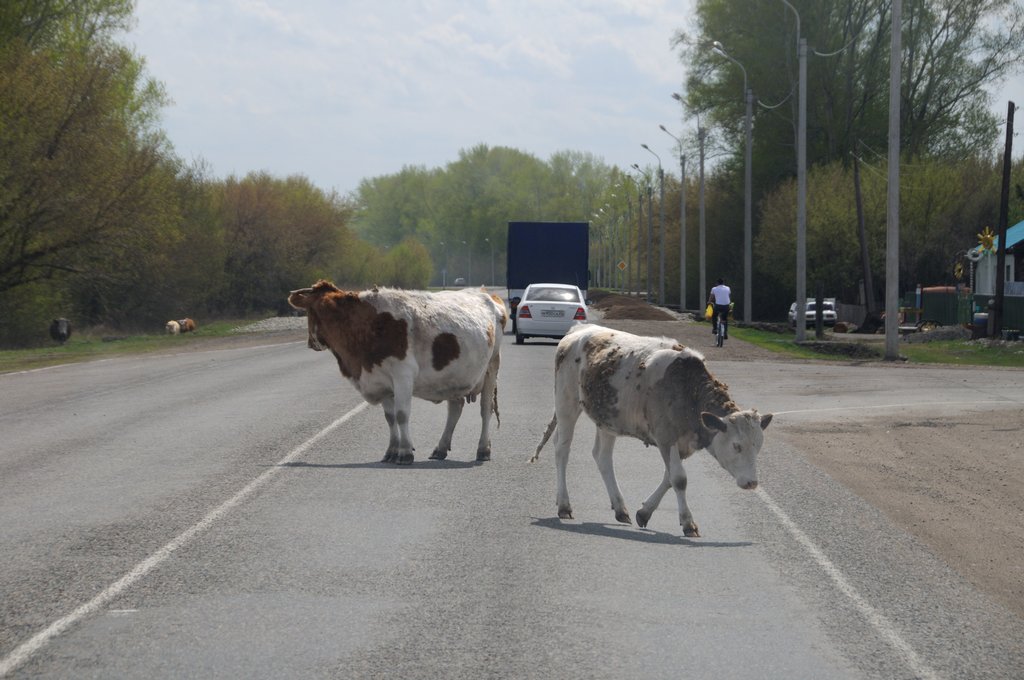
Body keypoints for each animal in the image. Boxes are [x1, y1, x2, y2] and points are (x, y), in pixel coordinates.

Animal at [288, 278, 507, 464]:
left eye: (313, 311)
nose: (311, 343)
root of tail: (486, 293)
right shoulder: (382, 381)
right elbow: (390, 417)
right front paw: (391, 451)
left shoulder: (403, 375)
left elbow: (402, 414)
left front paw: (405, 452)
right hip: (454, 375)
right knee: (455, 408)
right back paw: (441, 448)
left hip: (491, 368)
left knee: (485, 409)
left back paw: (483, 449)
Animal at [532, 323, 770, 536]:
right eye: (736, 446)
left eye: (758, 447)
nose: (752, 483)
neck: (687, 389)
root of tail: (579, 330)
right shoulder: (666, 437)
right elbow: (679, 479)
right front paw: (688, 523)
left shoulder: (678, 443)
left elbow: (669, 478)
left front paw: (644, 512)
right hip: (566, 403)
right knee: (562, 449)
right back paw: (564, 505)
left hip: (607, 417)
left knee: (602, 456)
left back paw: (620, 508)